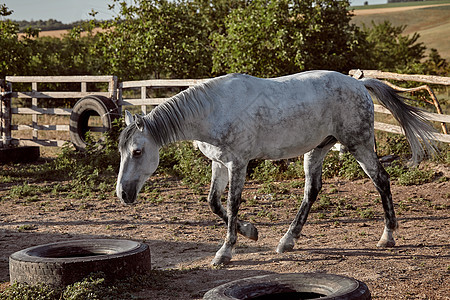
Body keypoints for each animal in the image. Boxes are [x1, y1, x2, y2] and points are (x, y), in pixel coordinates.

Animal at [116, 70, 436, 264]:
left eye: (137, 151)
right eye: (121, 150)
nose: (122, 194)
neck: (213, 110)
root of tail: (359, 83)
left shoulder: (237, 163)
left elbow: (231, 204)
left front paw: (225, 252)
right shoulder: (218, 164)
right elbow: (213, 203)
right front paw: (251, 231)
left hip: (359, 145)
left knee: (381, 180)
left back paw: (387, 236)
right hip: (317, 150)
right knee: (312, 191)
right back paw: (287, 241)